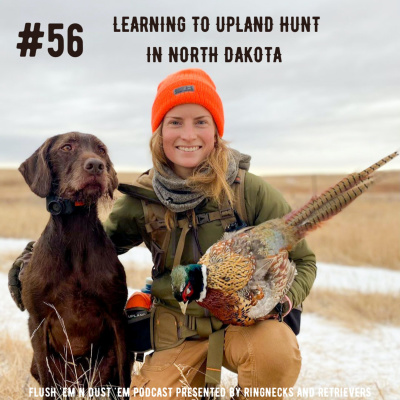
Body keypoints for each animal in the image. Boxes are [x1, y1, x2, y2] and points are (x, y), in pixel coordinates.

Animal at [18, 131, 130, 396]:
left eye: (101, 150)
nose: (96, 166)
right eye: (66, 147)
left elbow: (123, 380)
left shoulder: (117, 318)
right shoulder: (37, 323)